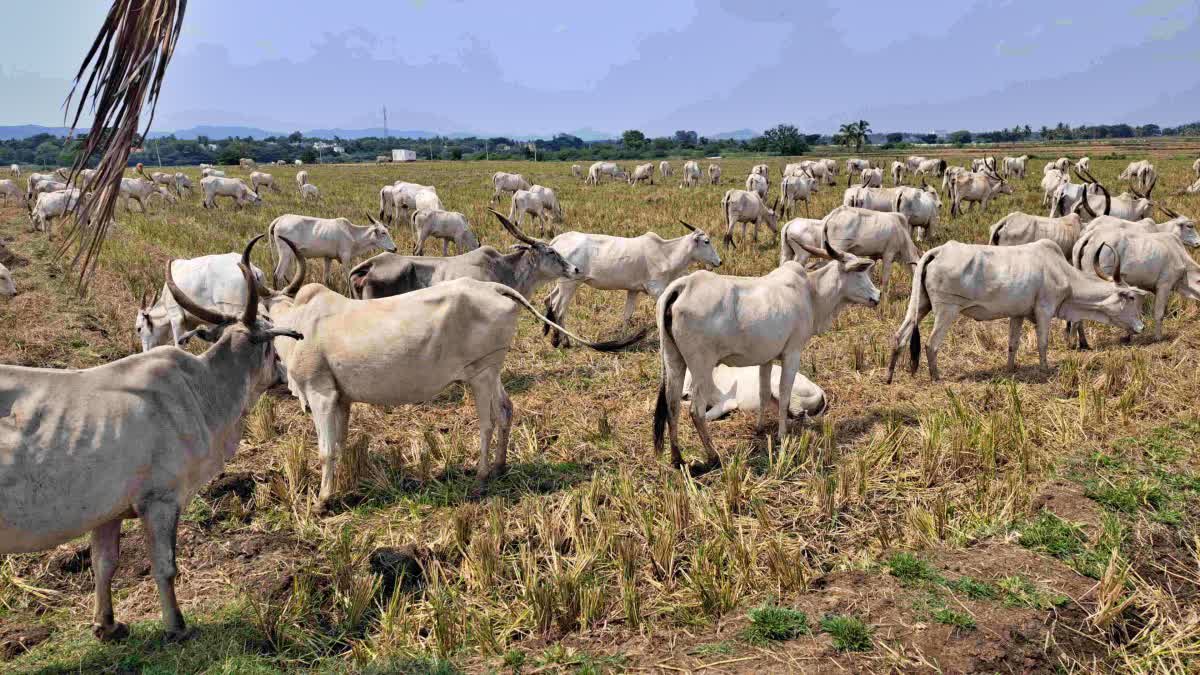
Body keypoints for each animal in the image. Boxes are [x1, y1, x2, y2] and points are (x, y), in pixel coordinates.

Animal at [0, 237, 300, 638]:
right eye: (269, 342)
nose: (284, 374)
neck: (204, 390)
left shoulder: (107, 510)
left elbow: (104, 564)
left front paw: (106, 624)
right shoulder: (161, 500)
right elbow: (165, 566)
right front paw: (176, 625)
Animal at [544, 220, 720, 345]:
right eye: (706, 241)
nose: (719, 261)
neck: (666, 253)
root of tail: (558, 240)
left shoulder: (633, 290)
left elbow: (627, 315)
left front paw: (622, 340)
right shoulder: (656, 289)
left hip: (561, 284)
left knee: (549, 300)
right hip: (569, 284)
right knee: (559, 309)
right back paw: (563, 341)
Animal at [888, 240, 1147, 379]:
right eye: (1131, 297)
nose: (1141, 327)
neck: (1065, 276)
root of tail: (938, 251)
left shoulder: (1018, 314)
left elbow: (1013, 344)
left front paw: (1010, 369)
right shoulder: (1044, 310)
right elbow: (1043, 343)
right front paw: (1044, 369)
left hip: (921, 305)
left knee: (900, 335)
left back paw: (890, 375)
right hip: (947, 309)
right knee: (931, 344)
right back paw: (936, 377)